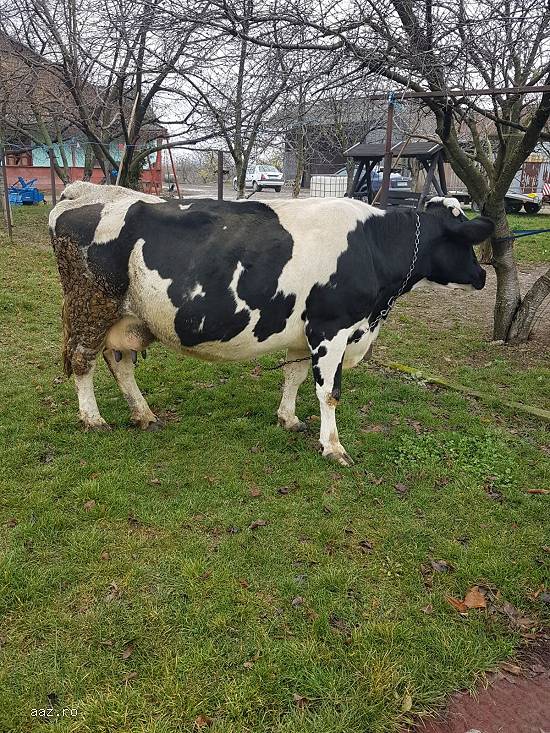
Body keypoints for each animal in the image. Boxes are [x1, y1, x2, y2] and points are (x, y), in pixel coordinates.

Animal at [49, 182, 493, 466]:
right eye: (465, 240)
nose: (482, 275)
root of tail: (86, 190)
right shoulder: (331, 328)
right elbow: (329, 393)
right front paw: (333, 447)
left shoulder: (305, 333)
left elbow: (294, 377)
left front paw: (288, 418)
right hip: (92, 306)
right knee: (83, 362)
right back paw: (93, 420)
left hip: (126, 316)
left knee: (120, 363)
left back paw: (143, 414)